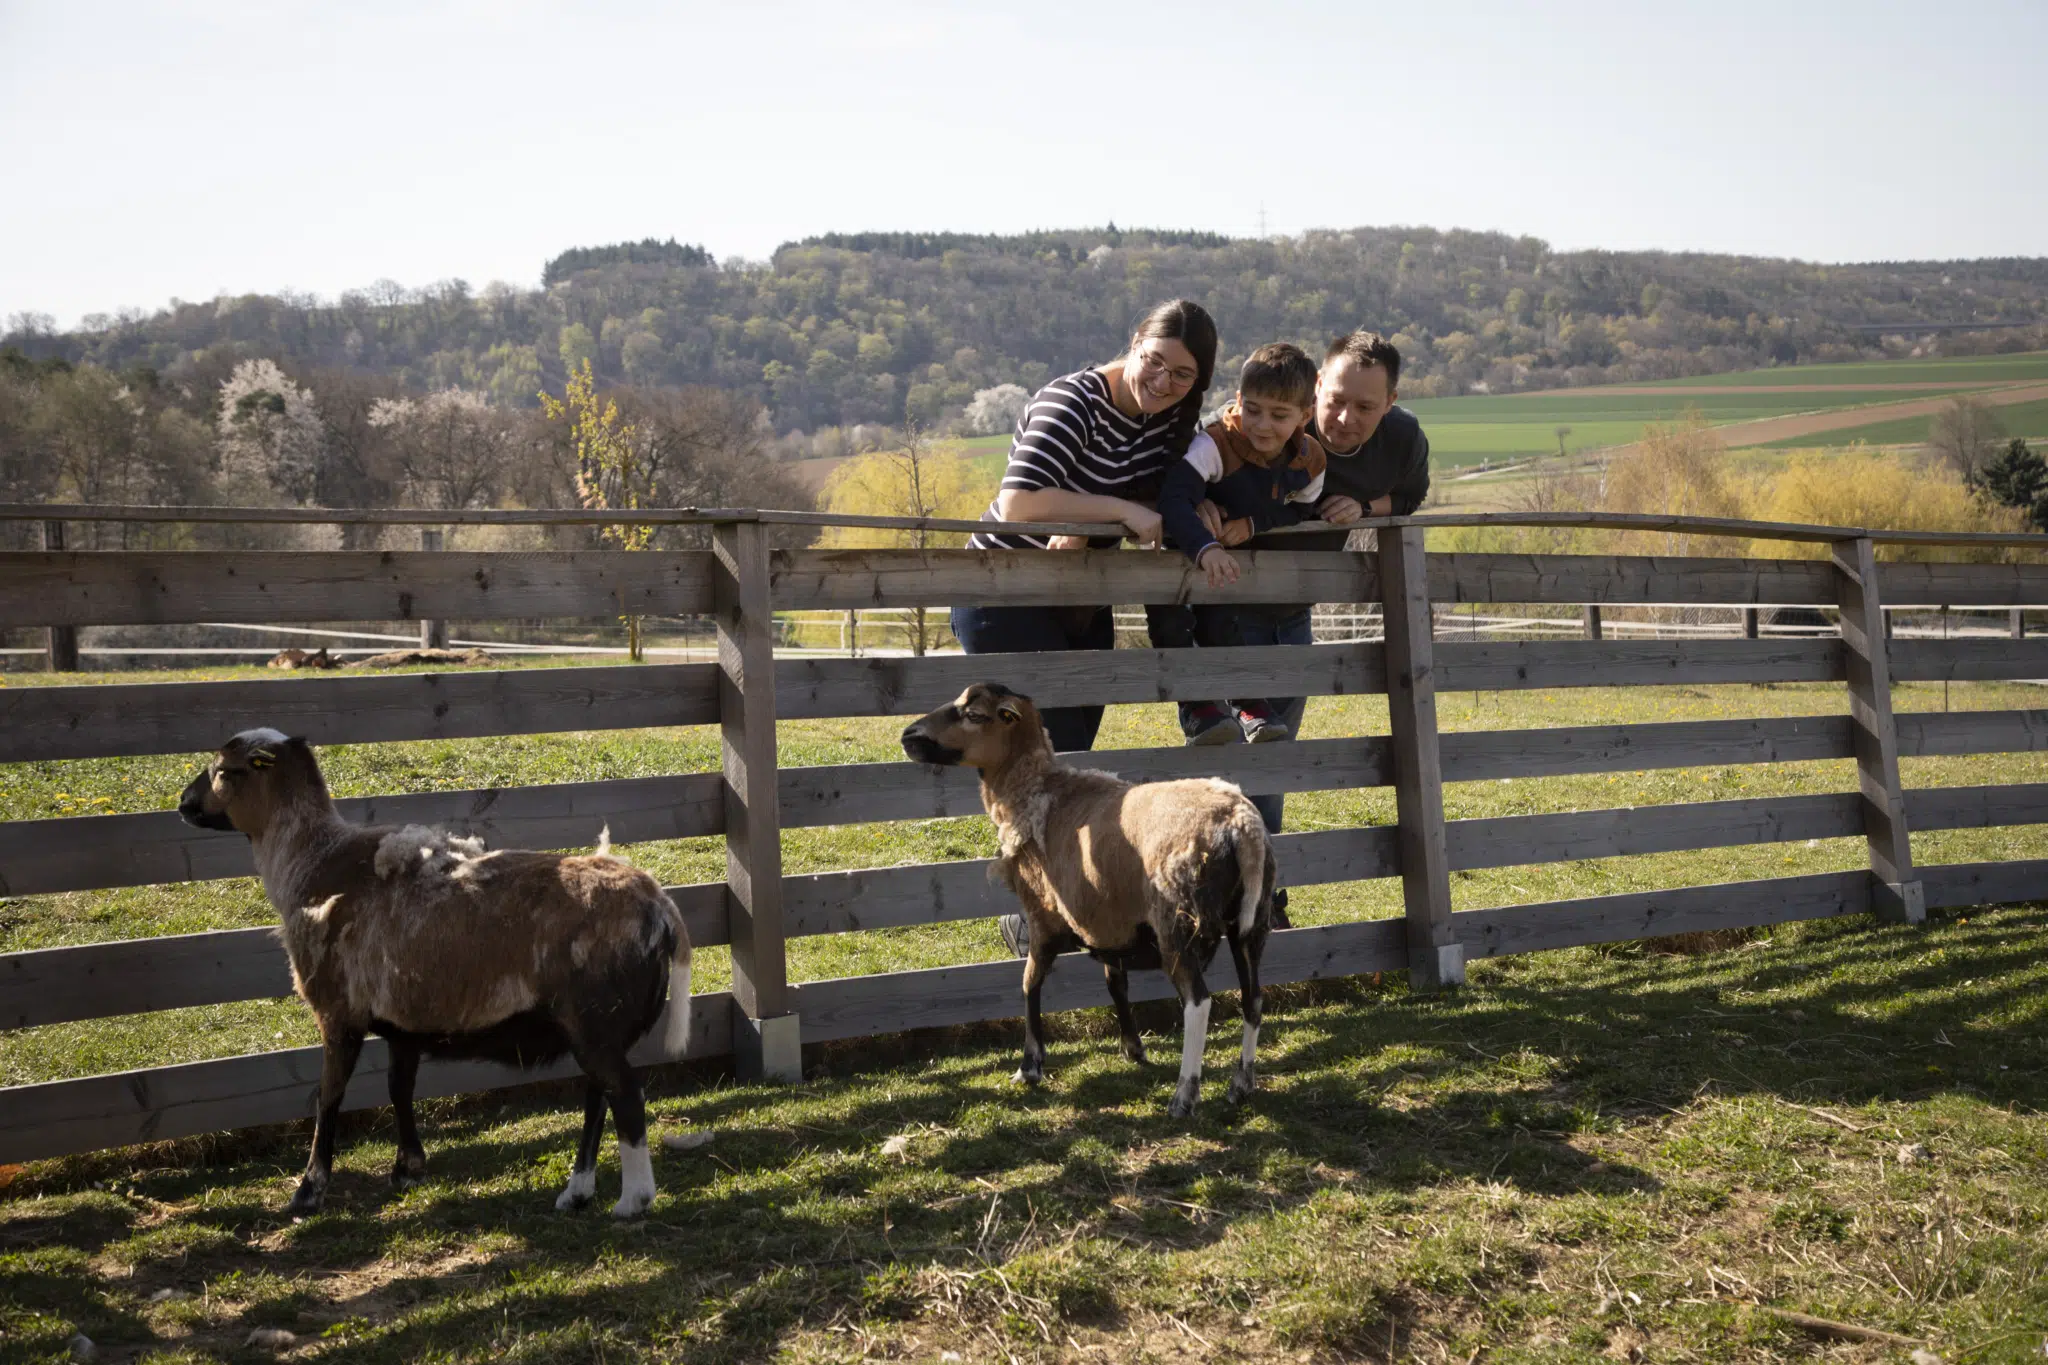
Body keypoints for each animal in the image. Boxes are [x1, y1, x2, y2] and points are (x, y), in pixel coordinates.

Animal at [178, 732, 688, 1219]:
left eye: (223, 770)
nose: (183, 804)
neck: (311, 863)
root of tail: (662, 908)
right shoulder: (404, 1025)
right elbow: (399, 1088)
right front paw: (408, 1167)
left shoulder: (338, 1013)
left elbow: (328, 1097)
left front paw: (308, 1191)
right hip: (596, 1028)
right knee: (599, 1097)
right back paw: (577, 1192)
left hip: (596, 1019)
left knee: (626, 1096)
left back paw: (633, 1200)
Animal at [905, 687, 1269, 1113]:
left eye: (974, 715)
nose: (908, 736)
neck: (1036, 791)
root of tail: (1241, 823)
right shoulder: (1107, 920)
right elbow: (1116, 984)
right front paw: (1133, 1048)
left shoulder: (1042, 915)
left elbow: (1029, 983)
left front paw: (1030, 1065)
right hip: (1250, 924)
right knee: (1253, 999)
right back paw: (1242, 1082)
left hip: (1177, 924)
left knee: (1198, 1003)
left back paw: (1184, 1094)